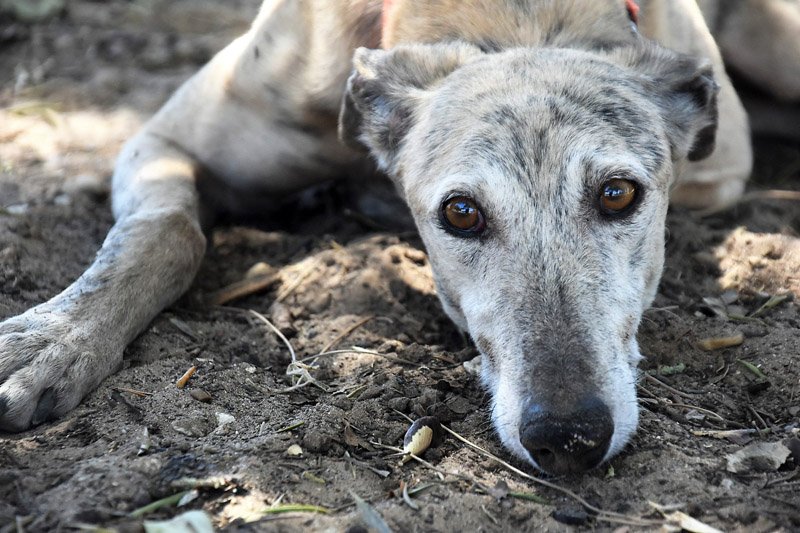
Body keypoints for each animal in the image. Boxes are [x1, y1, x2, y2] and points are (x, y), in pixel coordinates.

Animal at [0, 0, 791, 475]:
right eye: (461, 212)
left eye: (618, 193)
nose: (568, 436)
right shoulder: (163, 140)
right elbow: (166, 232)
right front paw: (50, 342)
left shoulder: (724, 164)